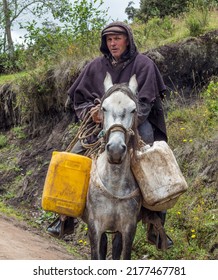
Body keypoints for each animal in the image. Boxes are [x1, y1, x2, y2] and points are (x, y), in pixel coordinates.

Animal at [82, 72, 142, 260]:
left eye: (133, 109)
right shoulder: (94, 225)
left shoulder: (129, 228)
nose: (115, 150)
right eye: (103, 108)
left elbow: (123, 254)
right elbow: (97, 254)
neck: (114, 185)